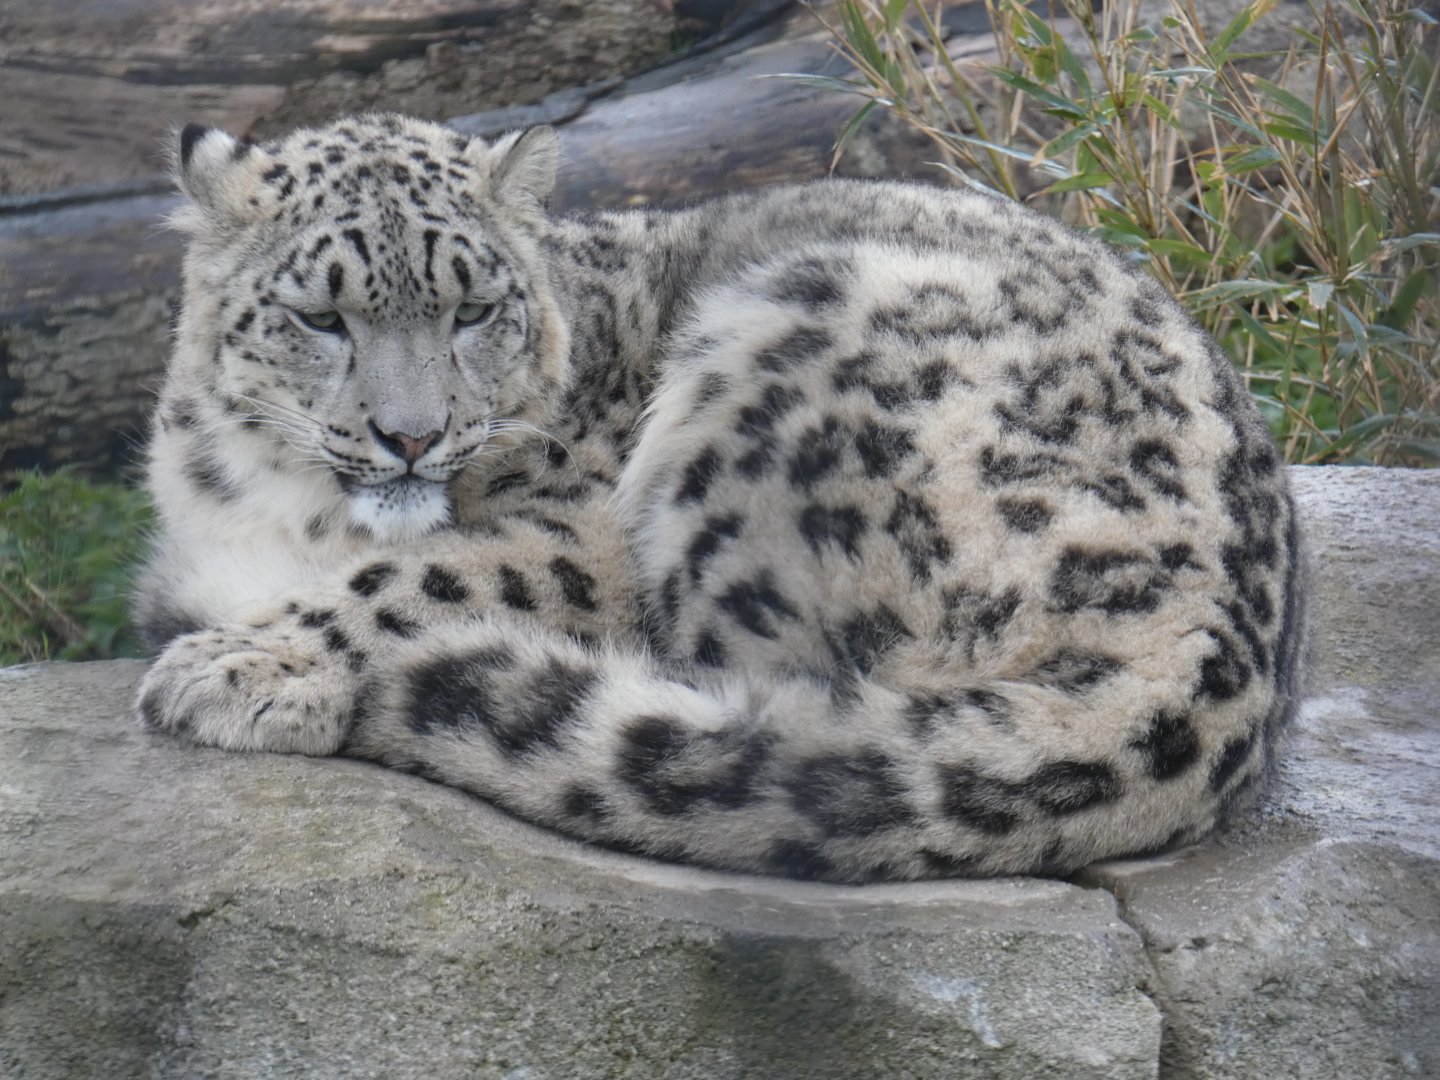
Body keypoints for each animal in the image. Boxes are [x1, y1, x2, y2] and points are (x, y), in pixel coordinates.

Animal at [134, 113, 1306, 883]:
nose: (412, 435)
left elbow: (415, 574)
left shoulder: (582, 536)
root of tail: (1219, 666)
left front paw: (236, 667)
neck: (280, 506)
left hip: (785, 350)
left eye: (473, 309)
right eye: (320, 317)